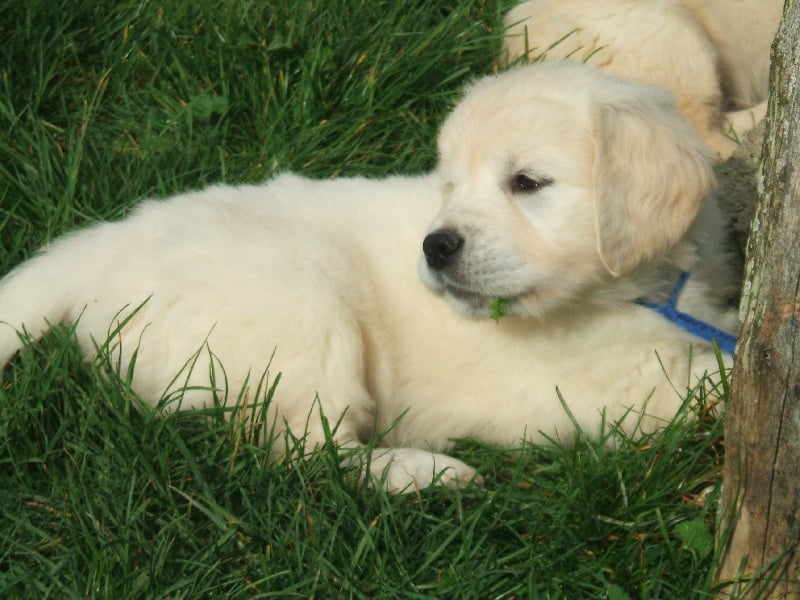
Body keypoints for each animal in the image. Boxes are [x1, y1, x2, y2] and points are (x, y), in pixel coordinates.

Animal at [0, 61, 736, 492]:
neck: (633, 293)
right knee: (304, 455)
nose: (436, 246)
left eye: (527, 183)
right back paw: (423, 472)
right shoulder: (613, 390)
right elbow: (718, 382)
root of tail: (104, 244)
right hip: (297, 299)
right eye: (450, 184)